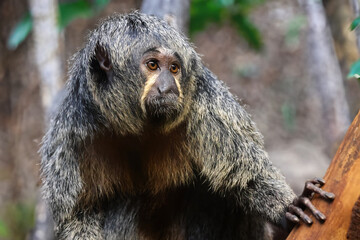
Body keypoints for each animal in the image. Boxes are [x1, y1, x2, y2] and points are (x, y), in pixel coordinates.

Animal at [40, 11, 336, 240]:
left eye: (173, 68)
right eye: (152, 65)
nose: (169, 87)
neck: (137, 125)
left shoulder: (207, 106)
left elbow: (244, 177)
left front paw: (288, 208)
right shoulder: (71, 134)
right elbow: (79, 214)